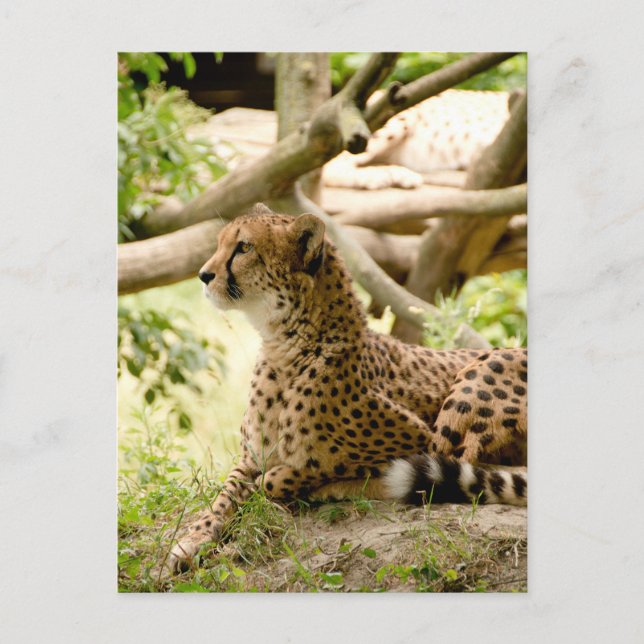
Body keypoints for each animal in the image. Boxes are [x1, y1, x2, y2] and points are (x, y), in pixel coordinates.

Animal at [168, 203, 527, 572]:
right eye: (221, 243)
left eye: (244, 247)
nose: (203, 275)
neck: (286, 345)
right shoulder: (250, 456)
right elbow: (224, 494)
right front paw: (194, 539)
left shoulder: (416, 440)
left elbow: (286, 475)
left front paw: (317, 483)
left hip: (477, 377)